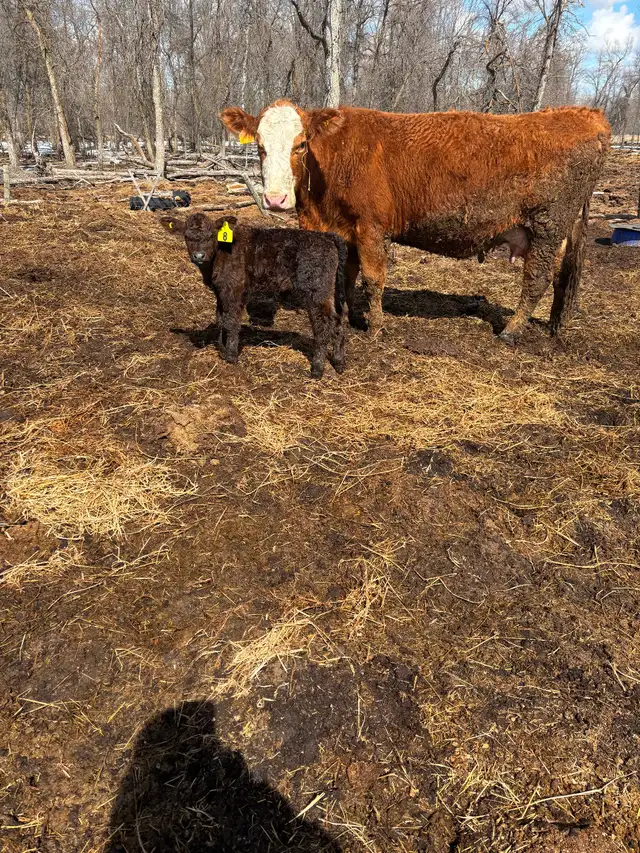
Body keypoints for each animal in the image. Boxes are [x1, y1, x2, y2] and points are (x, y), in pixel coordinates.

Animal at [160, 212, 347, 378]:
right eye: (186, 236)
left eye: (212, 235)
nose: (199, 256)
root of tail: (328, 237)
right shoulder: (220, 290)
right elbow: (220, 319)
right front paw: (221, 349)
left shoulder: (234, 289)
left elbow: (231, 321)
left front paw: (231, 356)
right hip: (332, 292)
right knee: (338, 321)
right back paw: (339, 363)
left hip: (317, 291)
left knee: (323, 325)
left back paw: (317, 369)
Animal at [220, 101, 610, 341]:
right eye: (259, 145)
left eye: (301, 144)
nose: (275, 199)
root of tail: (586, 114)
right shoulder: (345, 230)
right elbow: (344, 277)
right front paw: (347, 317)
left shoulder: (371, 228)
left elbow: (373, 280)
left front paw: (375, 328)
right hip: (557, 233)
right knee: (561, 278)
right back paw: (555, 326)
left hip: (547, 227)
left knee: (537, 280)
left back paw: (511, 331)